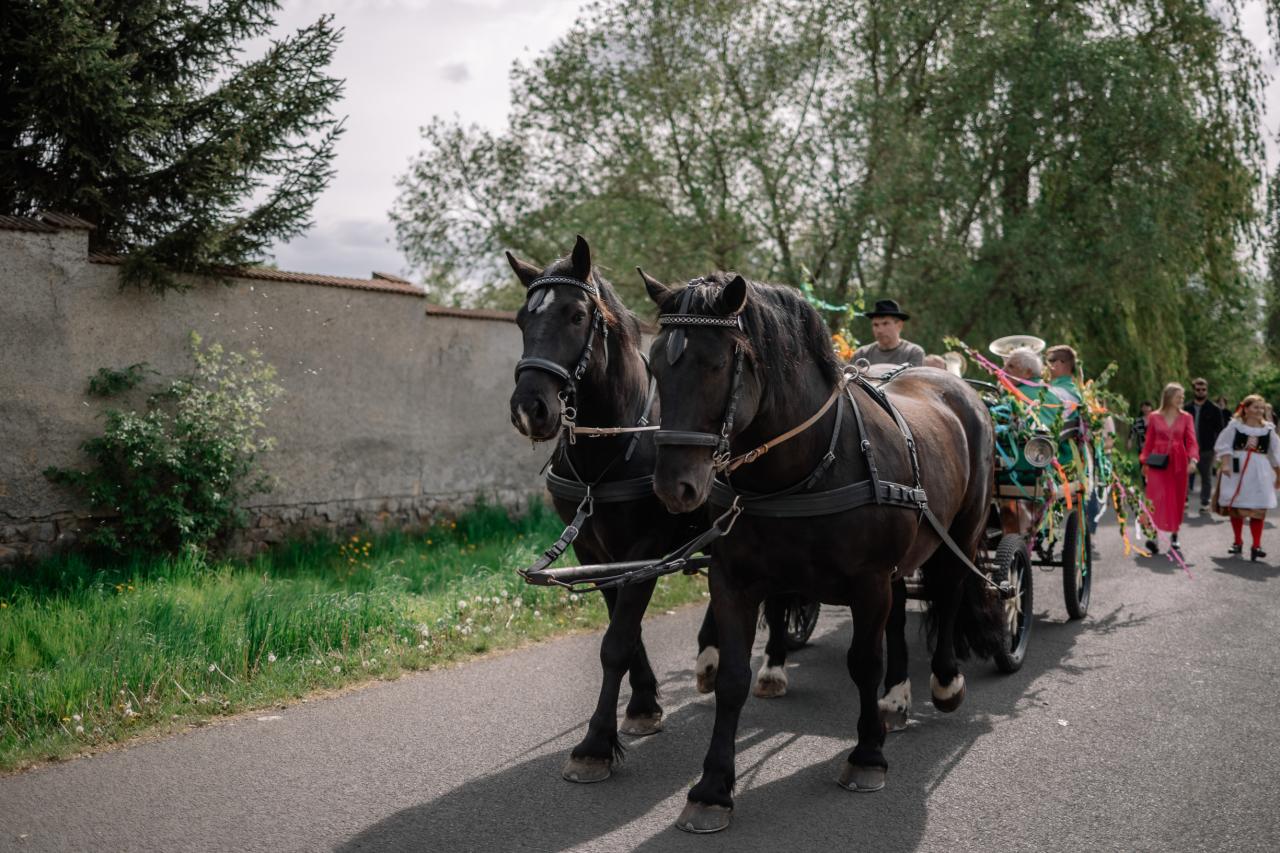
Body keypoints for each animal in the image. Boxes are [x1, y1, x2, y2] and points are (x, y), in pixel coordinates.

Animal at [506, 237, 812, 784]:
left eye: (576, 315)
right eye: (522, 318)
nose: (529, 408)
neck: (610, 449)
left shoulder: (646, 542)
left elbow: (617, 642)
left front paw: (595, 744)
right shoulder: (597, 550)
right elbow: (625, 633)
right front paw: (644, 704)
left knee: (777, 596)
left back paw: (774, 666)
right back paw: (710, 657)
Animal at [639, 269, 1002, 832]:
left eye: (715, 363)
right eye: (655, 364)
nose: (673, 486)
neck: (807, 466)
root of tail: (956, 386)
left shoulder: (867, 581)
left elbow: (863, 662)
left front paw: (867, 756)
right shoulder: (735, 580)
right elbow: (733, 677)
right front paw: (713, 787)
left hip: (959, 533)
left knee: (949, 591)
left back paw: (944, 682)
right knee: (903, 612)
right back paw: (897, 698)